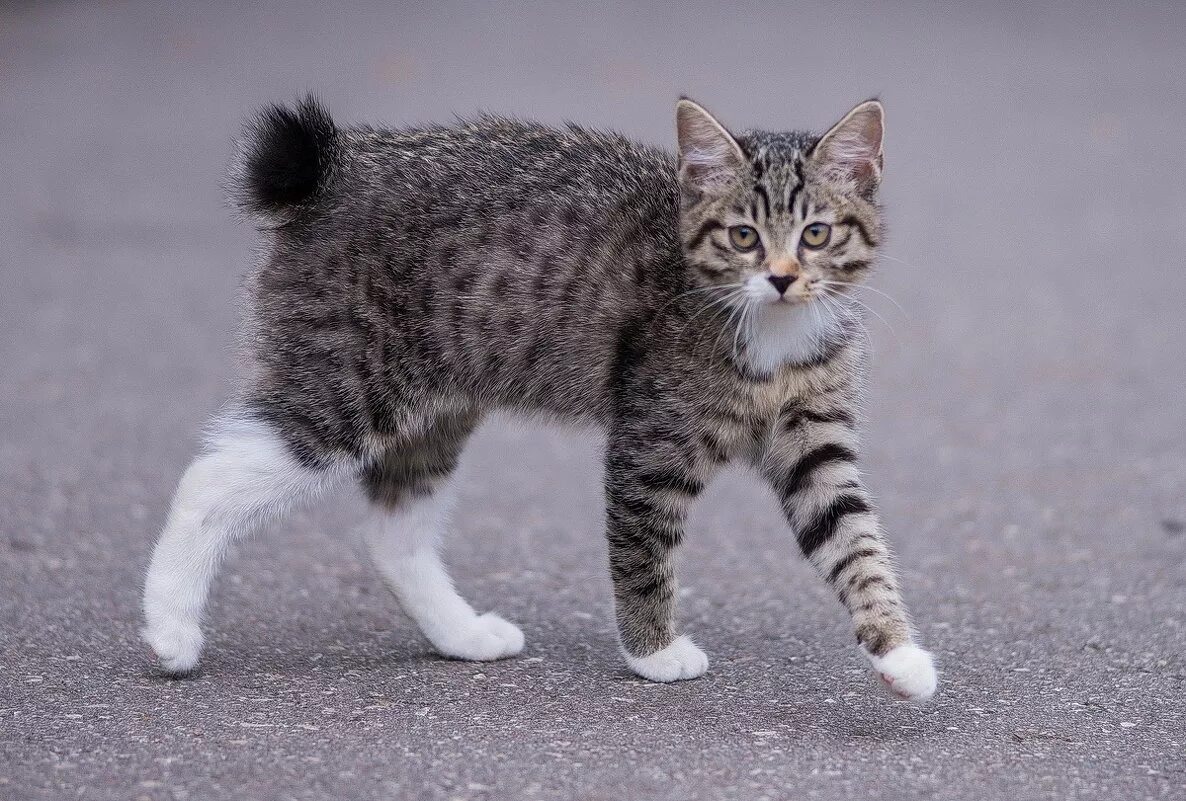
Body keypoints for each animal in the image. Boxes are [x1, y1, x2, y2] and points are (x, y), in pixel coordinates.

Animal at [141, 95, 934, 702]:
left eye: (816, 233)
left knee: (394, 528)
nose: (780, 276)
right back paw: (171, 627)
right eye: (743, 235)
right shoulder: (652, 439)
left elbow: (854, 541)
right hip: (350, 380)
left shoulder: (815, 440)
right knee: (211, 476)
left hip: (435, 400)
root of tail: (336, 166)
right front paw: (653, 651)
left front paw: (899, 654)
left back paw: (461, 633)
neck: (772, 333)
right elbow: (643, 545)